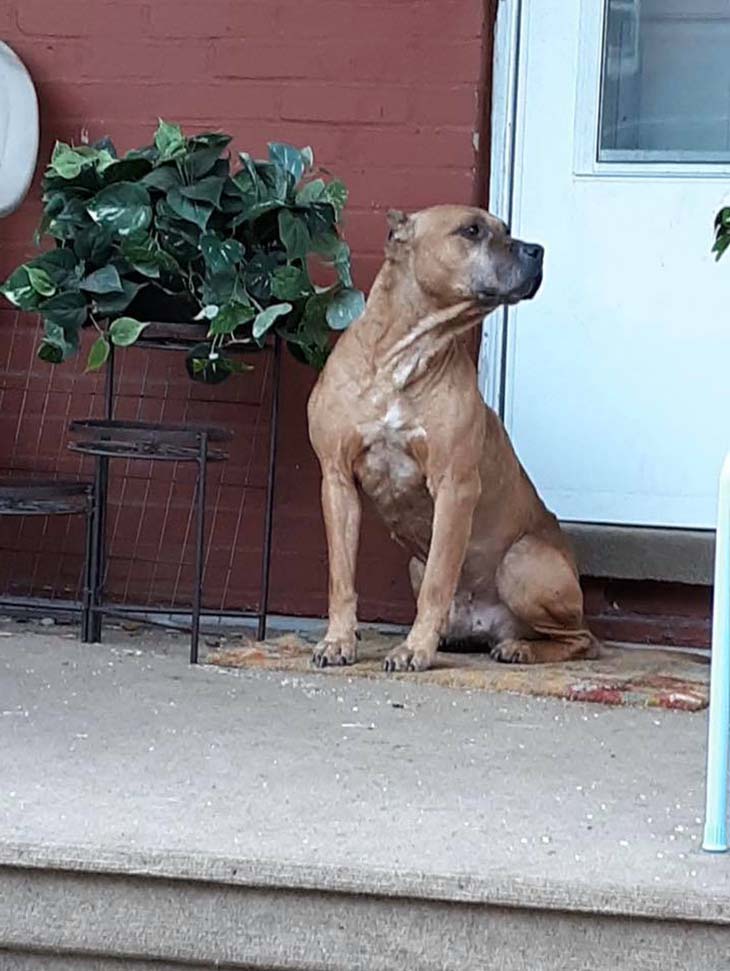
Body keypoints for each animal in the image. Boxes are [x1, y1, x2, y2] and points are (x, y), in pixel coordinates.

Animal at [308, 205, 596, 672]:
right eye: (472, 230)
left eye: (505, 230)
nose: (537, 250)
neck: (403, 357)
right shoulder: (336, 480)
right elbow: (341, 576)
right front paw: (338, 640)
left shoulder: (454, 485)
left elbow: (439, 581)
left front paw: (415, 648)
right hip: (414, 563)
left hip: (522, 563)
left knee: (582, 639)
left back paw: (520, 647)